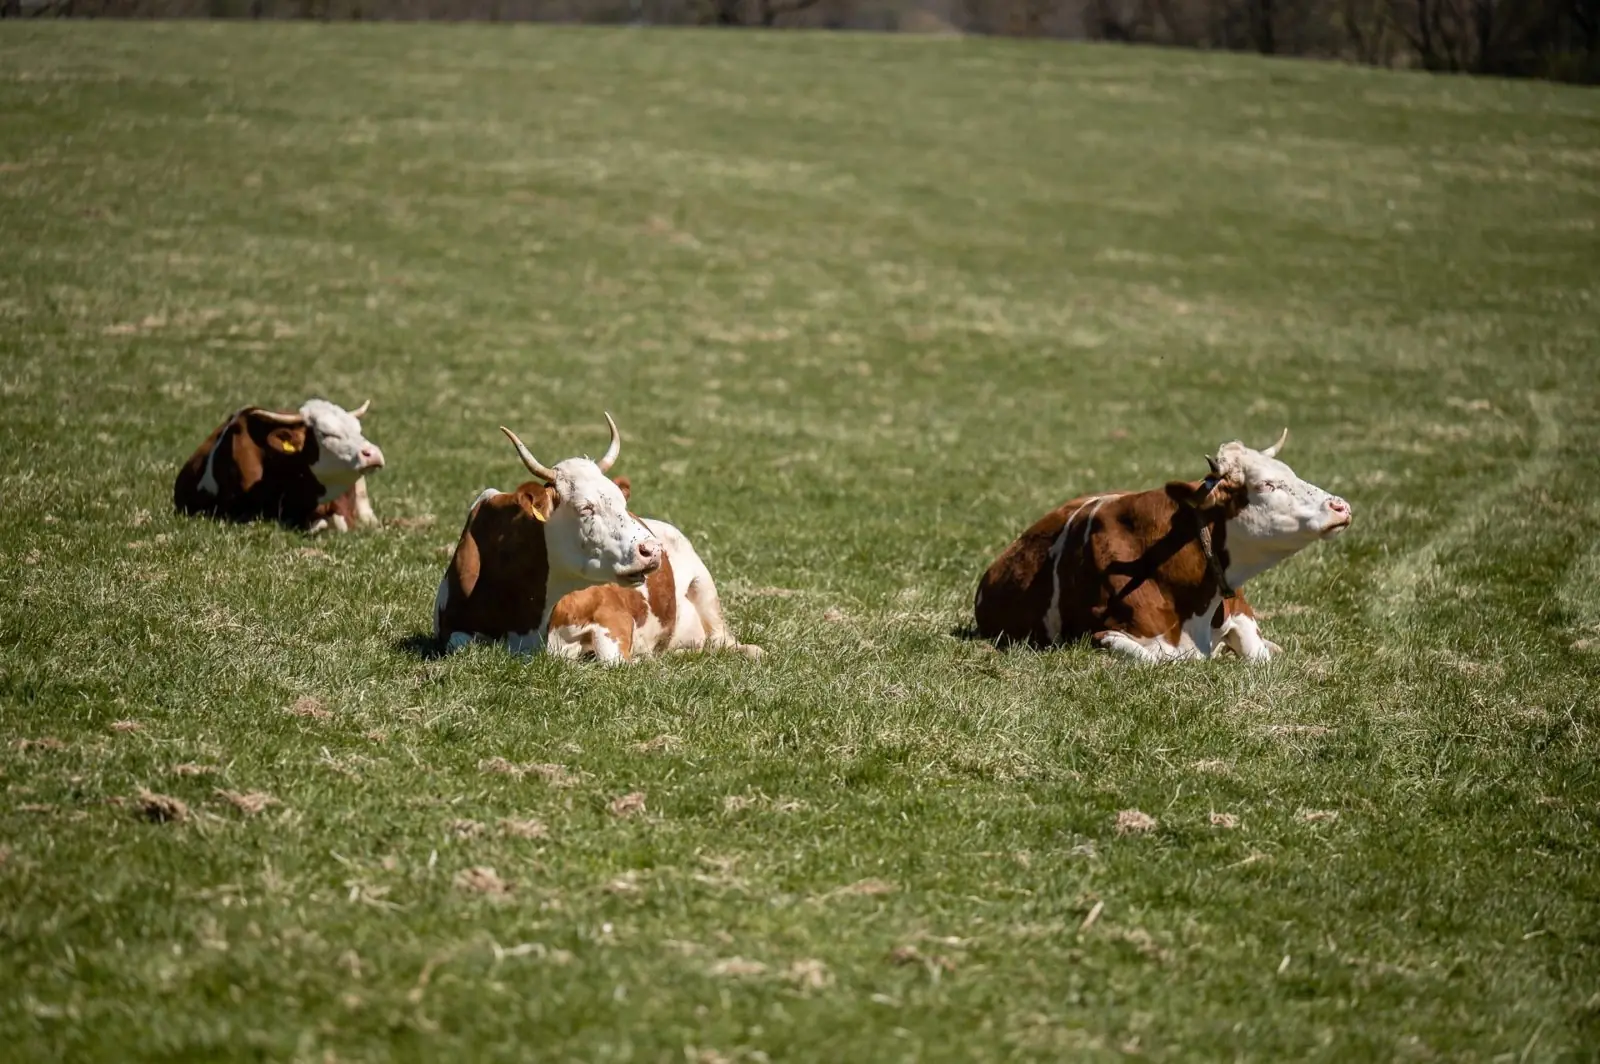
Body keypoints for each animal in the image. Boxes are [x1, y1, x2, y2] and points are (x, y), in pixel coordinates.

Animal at [433, 413, 761, 665]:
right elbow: (460, 644)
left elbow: (611, 658)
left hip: (705, 588)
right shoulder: (450, 629)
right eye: (585, 507)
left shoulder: (612, 617)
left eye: (622, 502)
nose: (652, 549)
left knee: (721, 640)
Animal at [973, 429, 1351, 662]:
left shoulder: (1240, 612)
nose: (1342, 506)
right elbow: (1157, 660)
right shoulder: (1099, 634)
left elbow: (1259, 656)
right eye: (1266, 486)